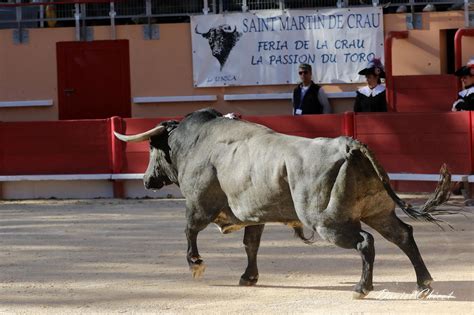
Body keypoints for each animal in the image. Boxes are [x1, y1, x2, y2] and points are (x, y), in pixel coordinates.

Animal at [115, 108, 452, 298]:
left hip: (328, 222)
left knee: (365, 242)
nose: (146, 180)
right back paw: (423, 284)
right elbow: (251, 244)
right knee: (403, 235)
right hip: (378, 211)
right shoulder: (254, 215)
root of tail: (349, 145)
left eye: (151, 148)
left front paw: (196, 265)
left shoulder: (198, 204)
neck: (196, 140)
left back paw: (361, 289)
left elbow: (189, 231)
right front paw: (248, 278)